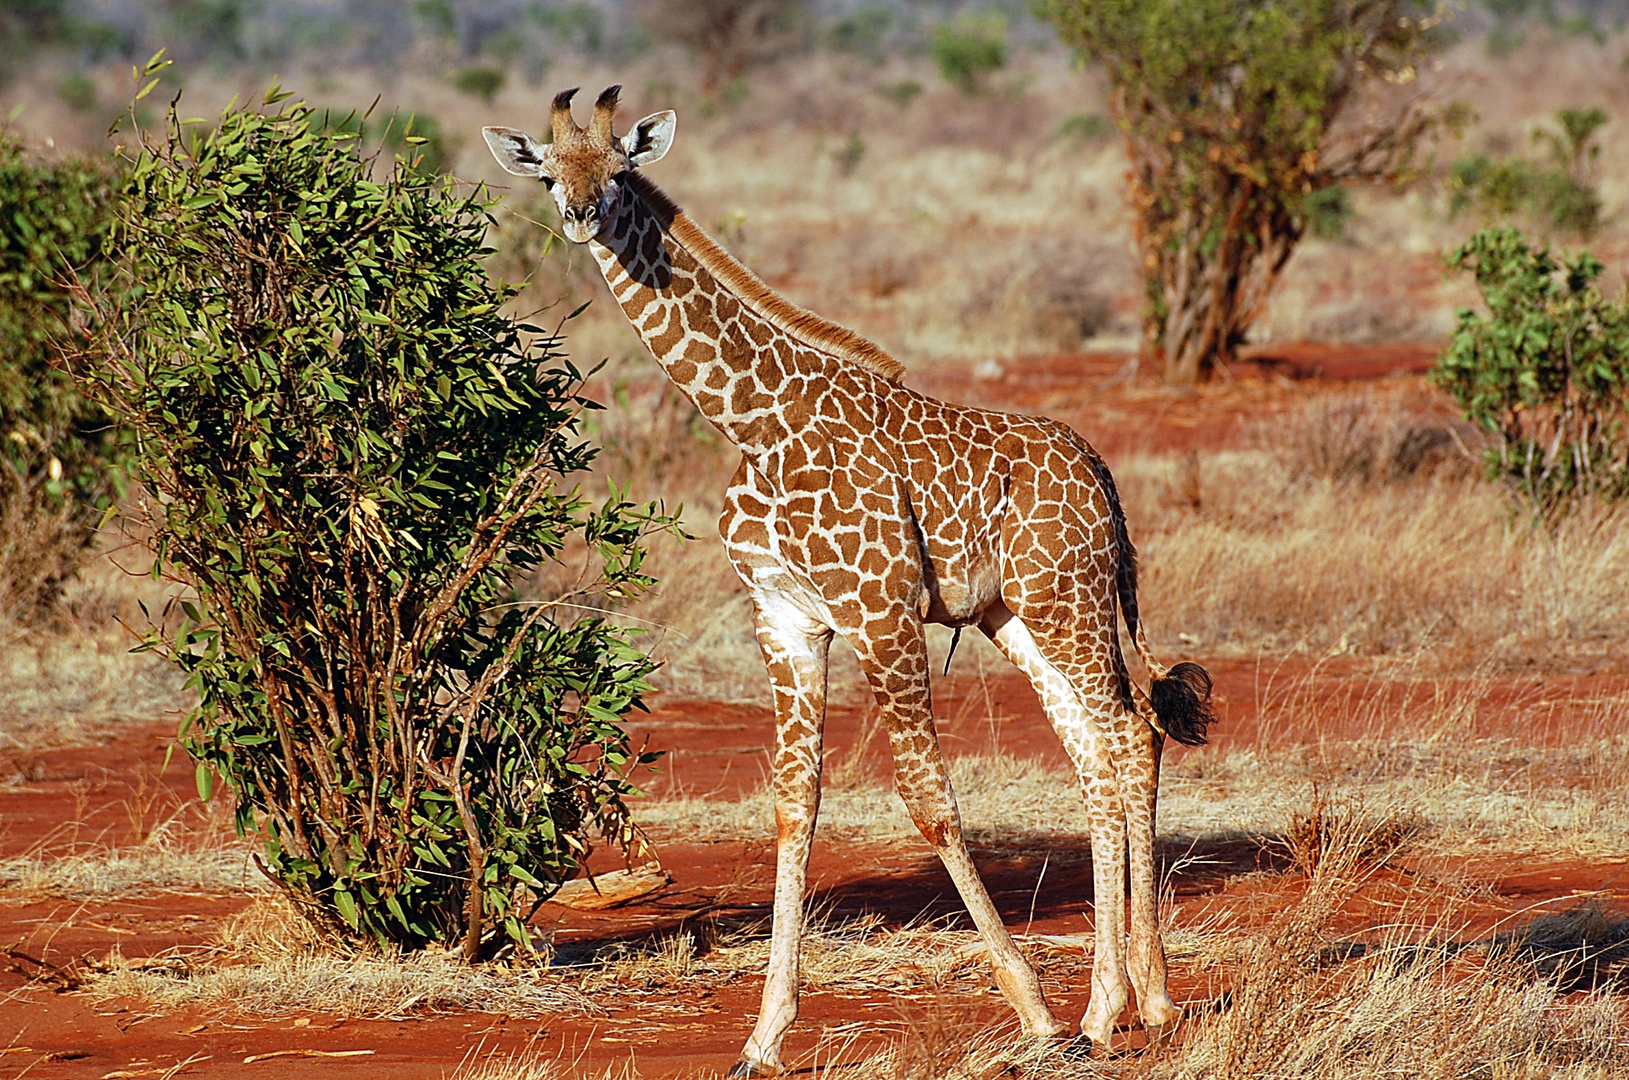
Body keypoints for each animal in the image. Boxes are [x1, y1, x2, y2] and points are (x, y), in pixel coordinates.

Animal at [482, 88, 1211, 1075]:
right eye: (551, 172)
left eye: (621, 170)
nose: (580, 213)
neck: (754, 423)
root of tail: (1101, 473)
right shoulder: (786, 620)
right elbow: (795, 804)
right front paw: (761, 1037)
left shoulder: (880, 611)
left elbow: (930, 802)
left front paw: (1031, 1013)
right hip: (1015, 617)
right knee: (1098, 751)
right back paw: (1115, 1010)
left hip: (1070, 601)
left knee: (1132, 733)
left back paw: (1130, 1007)